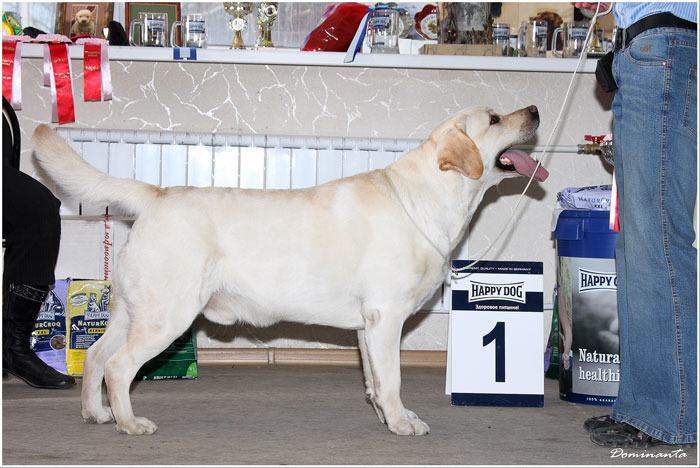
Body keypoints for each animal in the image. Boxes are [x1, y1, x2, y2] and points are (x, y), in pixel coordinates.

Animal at [32, 106, 548, 436]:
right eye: (495, 119)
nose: (536, 109)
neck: (429, 197)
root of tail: (157, 195)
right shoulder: (387, 318)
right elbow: (394, 379)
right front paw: (403, 423)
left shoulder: (368, 326)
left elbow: (375, 381)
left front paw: (386, 417)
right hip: (167, 315)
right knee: (118, 367)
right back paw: (129, 423)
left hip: (132, 310)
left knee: (95, 358)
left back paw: (96, 415)